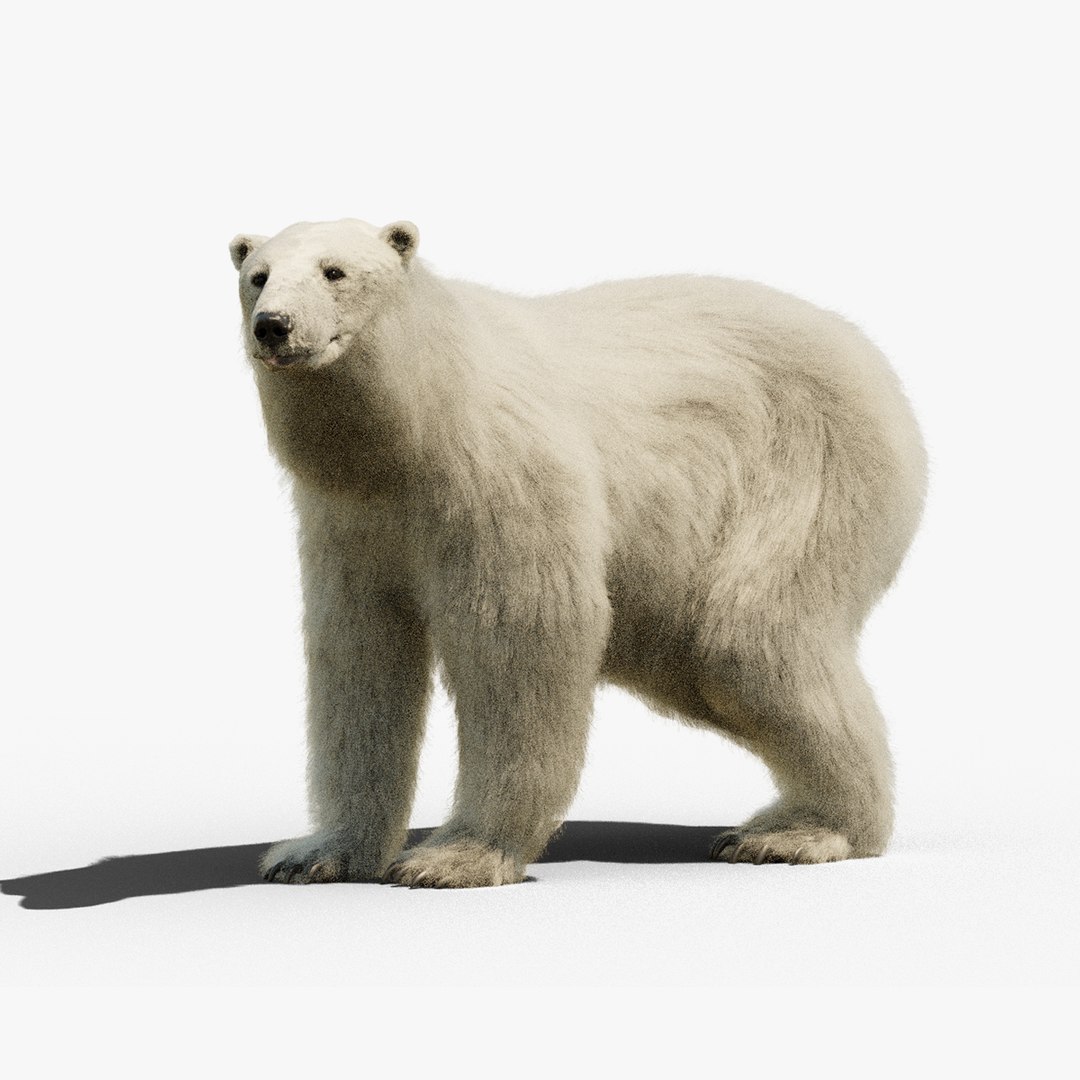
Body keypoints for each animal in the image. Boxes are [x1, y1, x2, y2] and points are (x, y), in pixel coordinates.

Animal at [228, 218, 926, 888]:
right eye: (257, 275)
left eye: (334, 271)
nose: (273, 326)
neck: (417, 423)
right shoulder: (353, 520)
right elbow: (360, 656)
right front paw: (316, 855)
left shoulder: (502, 475)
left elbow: (523, 639)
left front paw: (455, 858)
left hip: (808, 475)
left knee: (741, 642)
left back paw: (797, 832)